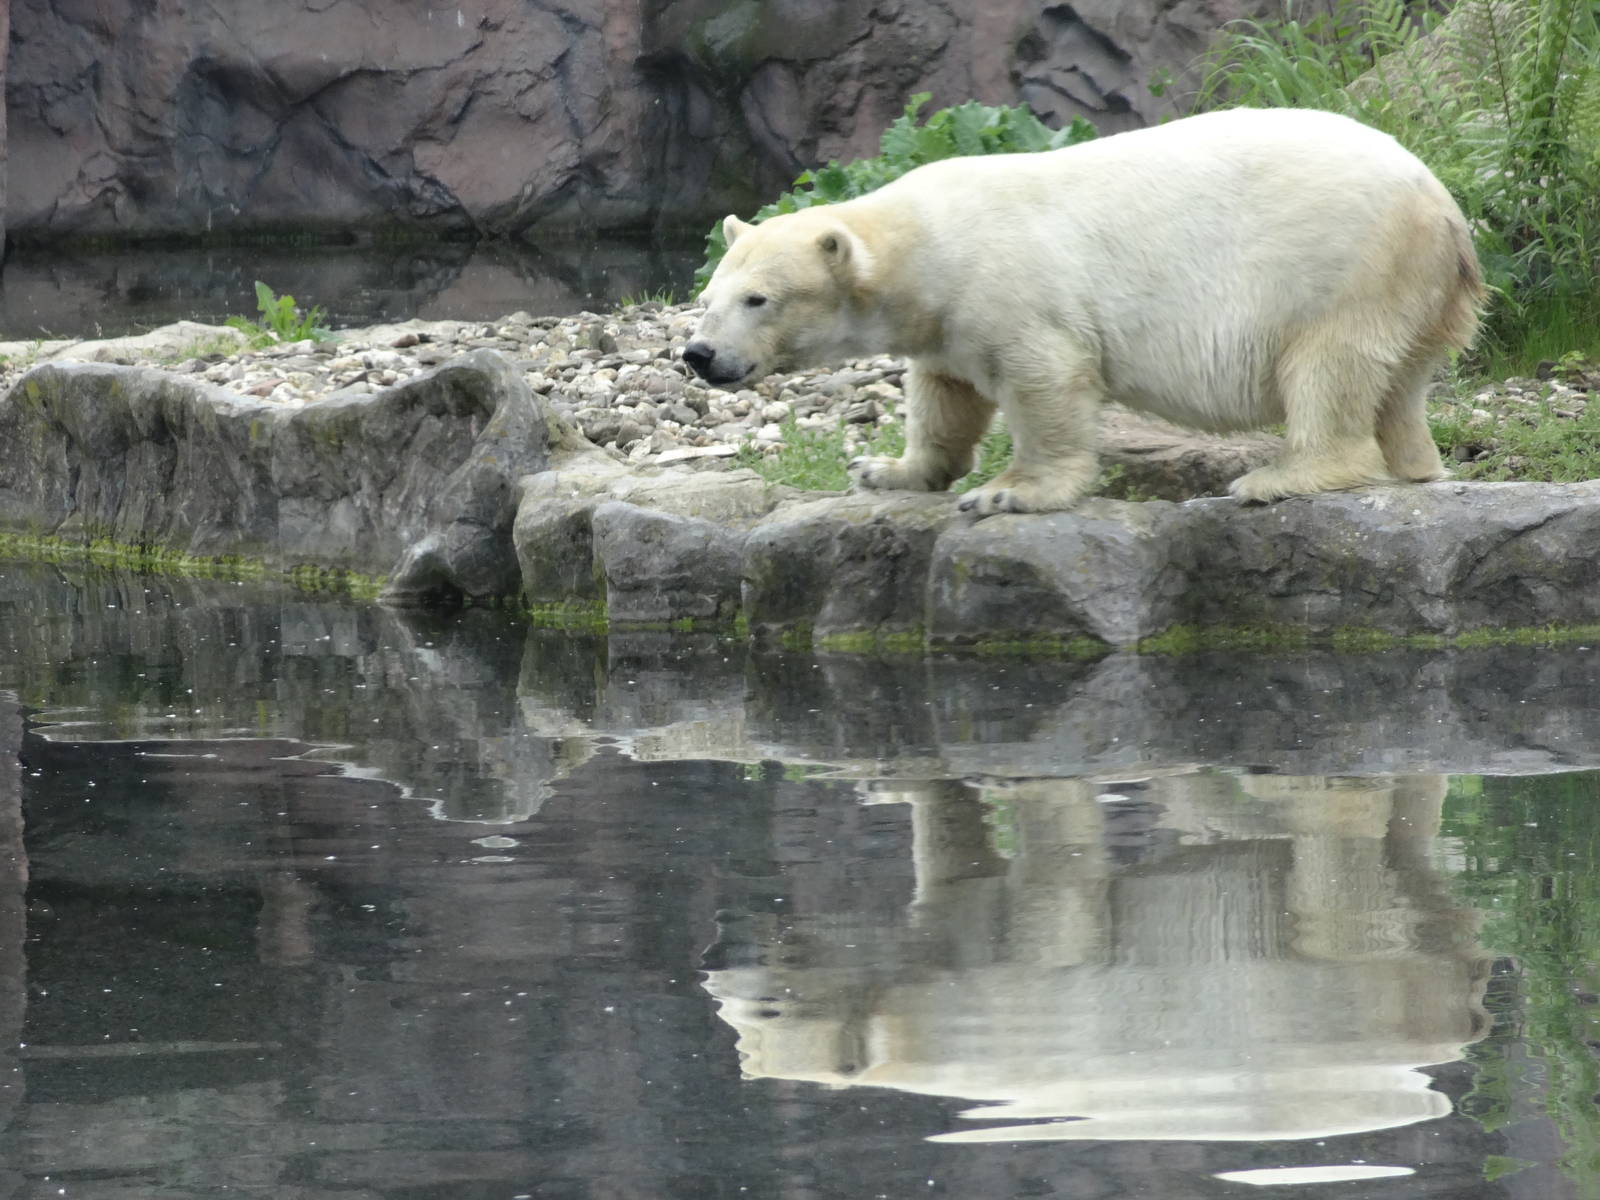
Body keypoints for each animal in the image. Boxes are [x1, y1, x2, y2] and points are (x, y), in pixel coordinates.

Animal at [682, 107, 1484, 515]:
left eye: (759, 299)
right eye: (707, 300)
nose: (698, 355)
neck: (926, 241)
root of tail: (1443, 206)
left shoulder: (1008, 288)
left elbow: (1047, 380)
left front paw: (1008, 493)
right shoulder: (944, 324)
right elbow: (945, 395)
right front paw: (883, 470)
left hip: (1342, 261)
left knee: (1329, 363)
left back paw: (1281, 476)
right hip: (1412, 285)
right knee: (1399, 378)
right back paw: (1415, 465)